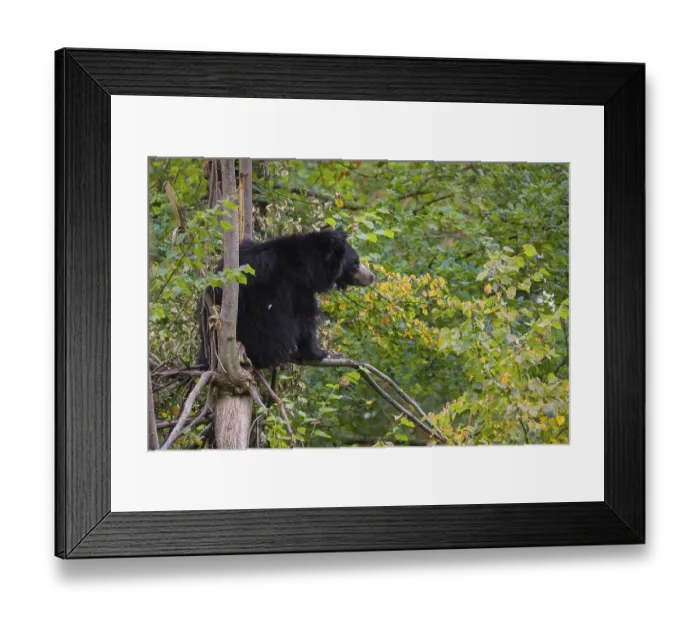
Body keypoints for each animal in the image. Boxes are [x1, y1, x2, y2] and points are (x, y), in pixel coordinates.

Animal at [195, 227, 374, 370]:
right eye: (356, 262)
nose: (372, 276)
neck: (308, 267)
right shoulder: (294, 286)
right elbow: (305, 317)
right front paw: (318, 352)